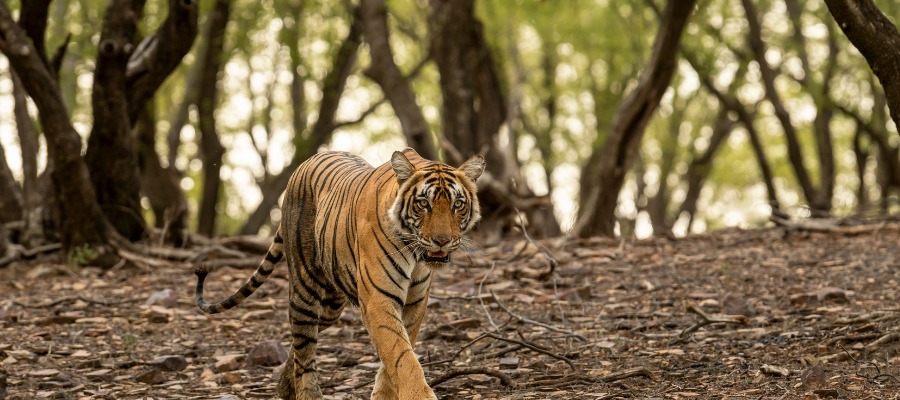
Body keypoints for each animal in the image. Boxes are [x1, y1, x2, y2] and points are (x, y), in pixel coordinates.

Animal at [192, 148, 482, 400]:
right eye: (423, 203)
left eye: (458, 204)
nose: (442, 241)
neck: (414, 254)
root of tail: (308, 160)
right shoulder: (378, 300)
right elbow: (401, 355)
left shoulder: (415, 302)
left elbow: (398, 352)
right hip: (305, 288)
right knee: (304, 347)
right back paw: (306, 394)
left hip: (332, 303)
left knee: (302, 342)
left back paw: (284, 386)